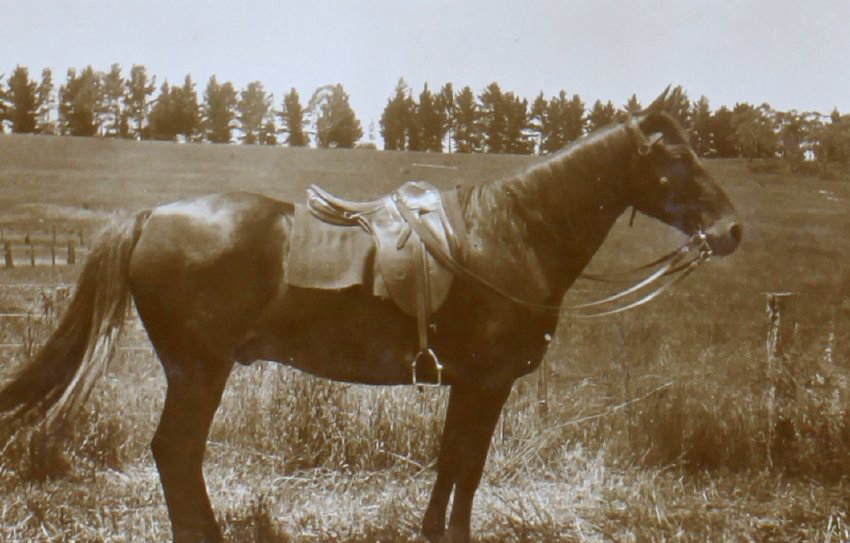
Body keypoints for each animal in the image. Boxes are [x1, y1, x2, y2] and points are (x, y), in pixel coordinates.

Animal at [0, 88, 741, 543]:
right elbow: (469, 466)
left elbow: (449, 461)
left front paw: (432, 531)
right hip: (197, 371)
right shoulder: (489, 382)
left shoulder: (467, 384)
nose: (731, 230)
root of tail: (151, 216)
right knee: (175, 451)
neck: (511, 234)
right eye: (677, 156)